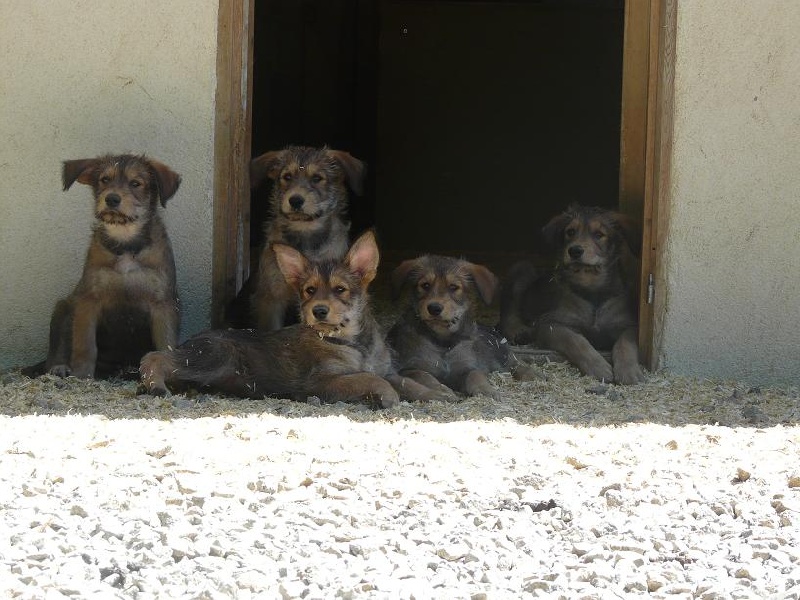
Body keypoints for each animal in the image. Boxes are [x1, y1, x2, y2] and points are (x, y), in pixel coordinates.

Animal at [36, 155, 181, 380]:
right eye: (105, 180)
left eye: (135, 183)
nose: (112, 199)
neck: (125, 242)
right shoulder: (89, 300)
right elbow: (85, 345)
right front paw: (82, 376)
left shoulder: (163, 303)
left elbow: (166, 344)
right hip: (63, 308)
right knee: (57, 348)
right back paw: (59, 367)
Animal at [386, 253, 536, 398]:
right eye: (425, 285)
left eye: (453, 287)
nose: (434, 308)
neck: (443, 342)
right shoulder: (409, 368)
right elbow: (424, 376)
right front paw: (442, 390)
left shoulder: (467, 367)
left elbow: (475, 375)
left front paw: (486, 390)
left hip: (498, 353)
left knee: (514, 362)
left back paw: (531, 374)